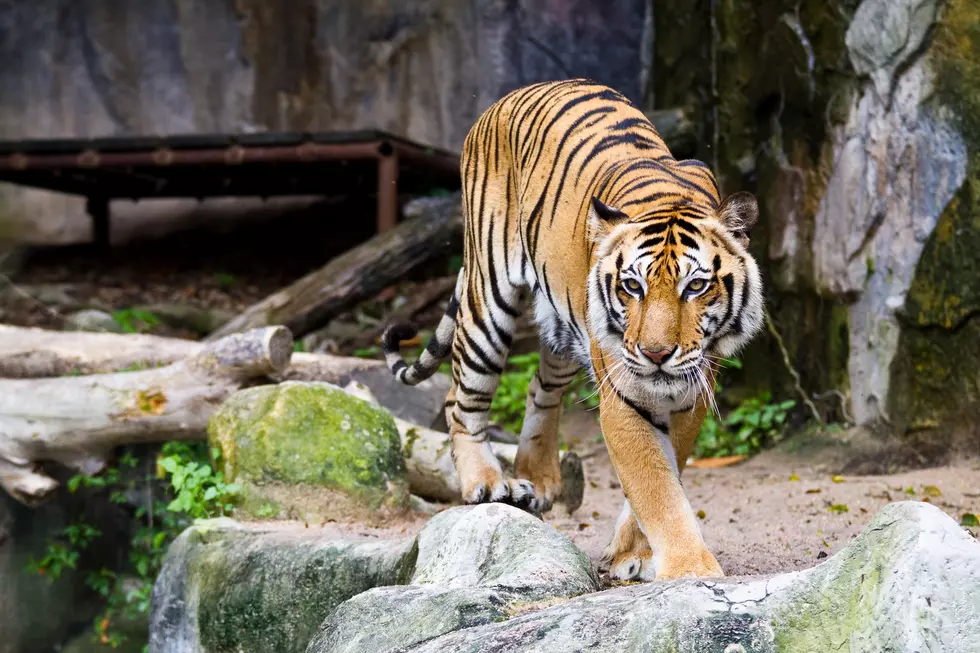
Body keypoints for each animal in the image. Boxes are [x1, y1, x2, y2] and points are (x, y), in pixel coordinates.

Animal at [382, 79, 764, 581]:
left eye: (695, 286)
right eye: (632, 286)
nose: (656, 354)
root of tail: (509, 97)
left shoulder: (692, 392)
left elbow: (666, 471)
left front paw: (634, 554)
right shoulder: (624, 396)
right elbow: (655, 486)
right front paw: (689, 570)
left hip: (562, 326)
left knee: (539, 389)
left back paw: (538, 479)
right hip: (489, 297)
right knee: (461, 398)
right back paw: (487, 483)